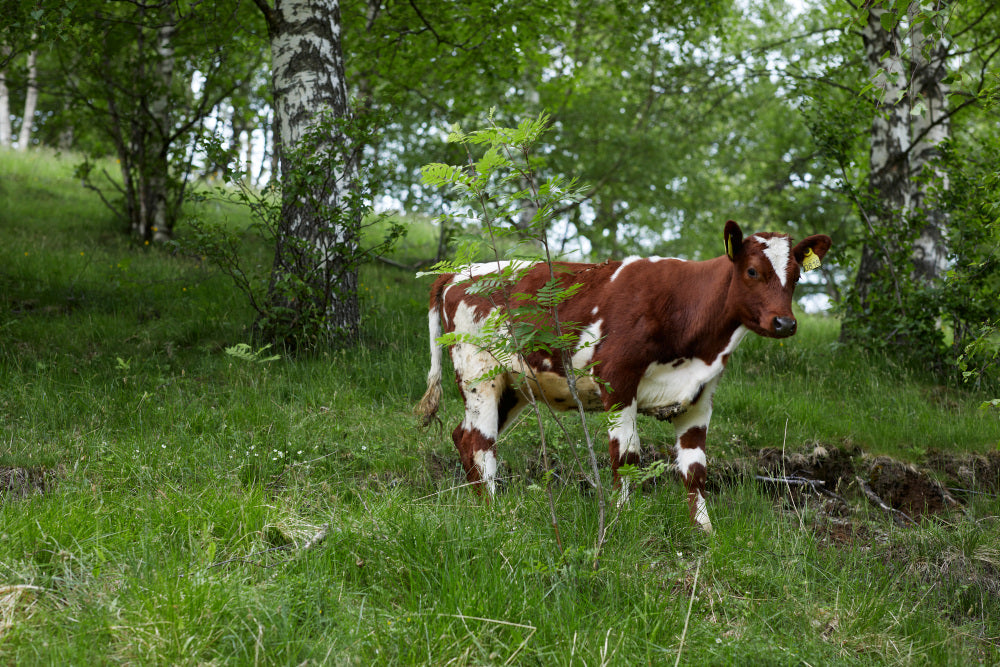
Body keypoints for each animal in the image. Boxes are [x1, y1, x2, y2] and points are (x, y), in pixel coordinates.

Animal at [414, 222, 828, 528]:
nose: (785, 323)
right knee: (478, 441)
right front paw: (622, 520)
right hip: (479, 373)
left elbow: (695, 468)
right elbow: (626, 456)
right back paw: (494, 513)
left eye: (795, 277)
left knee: (462, 435)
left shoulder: (701, 395)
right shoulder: (618, 378)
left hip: (514, 387)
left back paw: (483, 507)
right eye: (752, 271)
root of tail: (458, 273)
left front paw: (704, 532)